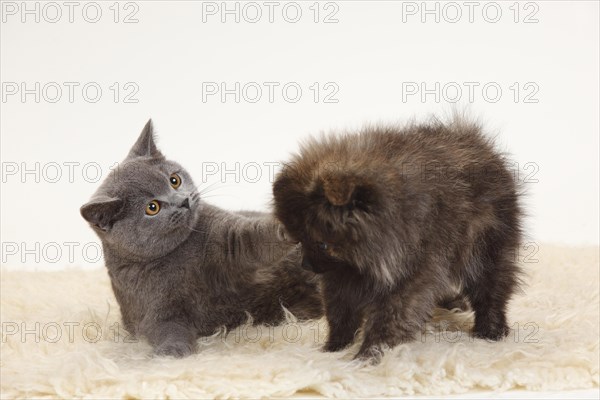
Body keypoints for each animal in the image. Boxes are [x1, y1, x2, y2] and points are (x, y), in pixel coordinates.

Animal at [81, 120, 324, 358]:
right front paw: (171, 352)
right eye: (152, 207)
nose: (183, 201)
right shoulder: (153, 311)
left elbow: (254, 240)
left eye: (174, 180)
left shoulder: (229, 237)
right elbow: (166, 328)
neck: (179, 252)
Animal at [272, 118, 520, 362]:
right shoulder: (343, 274)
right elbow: (341, 313)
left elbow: (389, 320)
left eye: (321, 244)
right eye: (299, 240)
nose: (305, 264)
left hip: (485, 250)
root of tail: (477, 143)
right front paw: (335, 348)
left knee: (491, 289)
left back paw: (490, 330)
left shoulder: (408, 278)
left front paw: (369, 355)